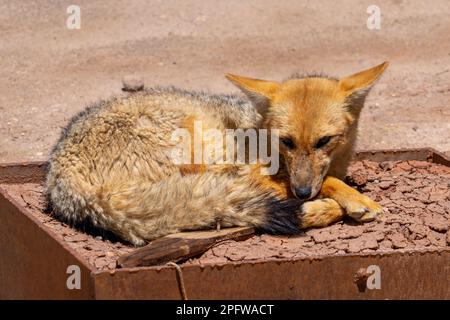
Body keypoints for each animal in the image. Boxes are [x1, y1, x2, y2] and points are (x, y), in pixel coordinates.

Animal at [44, 63, 386, 248]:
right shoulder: (248, 170)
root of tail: (60, 178)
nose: (303, 191)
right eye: (286, 141)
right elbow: (324, 182)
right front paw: (356, 199)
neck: (256, 131)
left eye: (324, 141)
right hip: (202, 146)